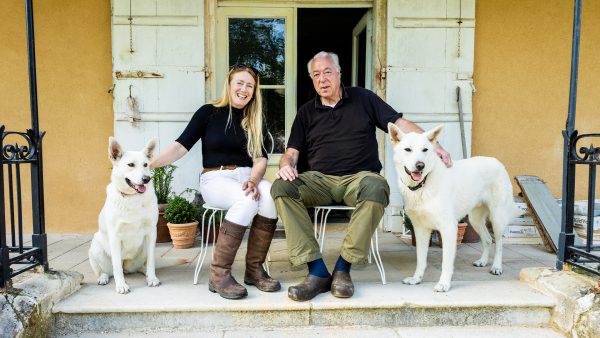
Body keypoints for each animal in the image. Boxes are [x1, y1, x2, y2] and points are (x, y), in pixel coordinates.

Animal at [88, 137, 159, 294]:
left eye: (146, 164)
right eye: (131, 165)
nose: (147, 179)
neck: (133, 198)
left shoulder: (151, 232)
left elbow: (151, 261)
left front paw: (151, 278)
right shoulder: (115, 236)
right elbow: (116, 267)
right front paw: (121, 285)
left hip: (142, 251)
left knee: (139, 267)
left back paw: (144, 271)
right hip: (96, 248)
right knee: (107, 270)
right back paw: (103, 278)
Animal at [390, 123, 520, 292]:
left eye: (425, 150)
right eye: (408, 149)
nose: (420, 166)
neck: (424, 184)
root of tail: (497, 162)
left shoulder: (448, 228)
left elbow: (446, 262)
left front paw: (444, 284)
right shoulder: (420, 229)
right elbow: (421, 259)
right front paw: (416, 279)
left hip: (497, 218)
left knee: (499, 243)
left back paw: (497, 267)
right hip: (475, 219)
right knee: (487, 239)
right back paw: (483, 261)